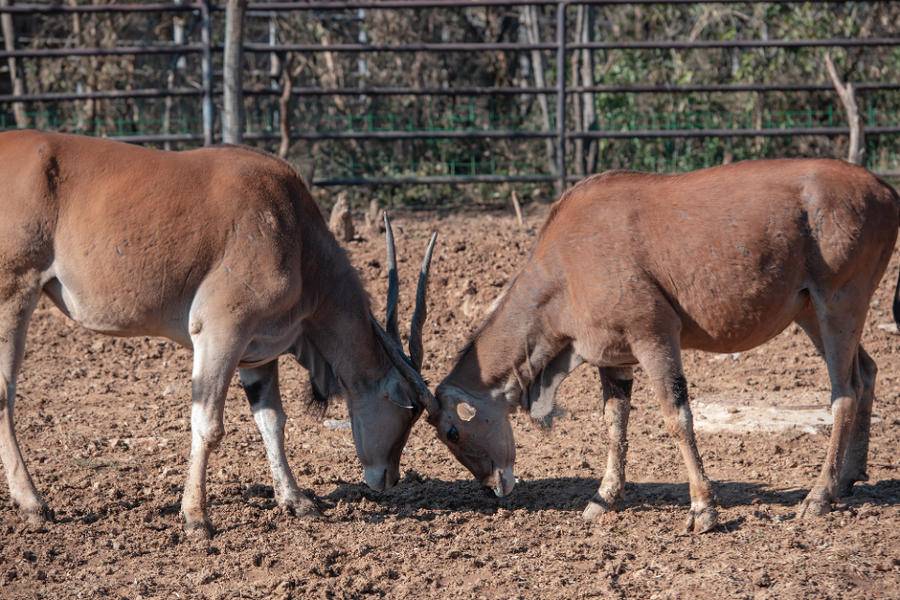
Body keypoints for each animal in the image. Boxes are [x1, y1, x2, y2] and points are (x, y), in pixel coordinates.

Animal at [0, 130, 436, 536]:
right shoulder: (221, 331)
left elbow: (272, 421)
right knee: (4, 392)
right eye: (408, 409)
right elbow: (208, 424)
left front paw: (295, 500)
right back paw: (33, 504)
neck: (294, 230)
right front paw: (196, 517)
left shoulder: (258, 352)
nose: (388, 477)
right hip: (14, 294)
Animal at [428, 158, 900, 528]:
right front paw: (602, 500)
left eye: (452, 431)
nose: (495, 486)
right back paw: (847, 479)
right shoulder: (613, 359)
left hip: (838, 303)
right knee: (866, 372)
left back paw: (818, 497)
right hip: (811, 314)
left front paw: (703, 510)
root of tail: (883, 189)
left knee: (845, 391)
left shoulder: (654, 337)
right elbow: (614, 423)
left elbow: (677, 417)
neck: (566, 258)